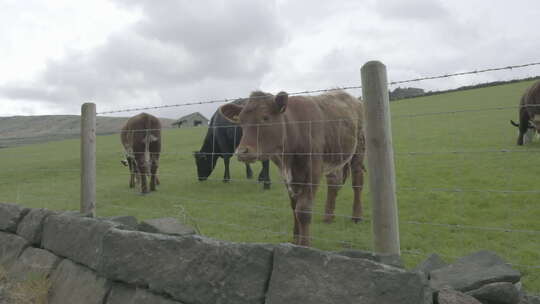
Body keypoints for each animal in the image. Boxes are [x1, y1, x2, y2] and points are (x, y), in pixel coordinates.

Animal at [220, 91, 368, 247]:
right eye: (241, 121)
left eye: (265, 117)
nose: (242, 152)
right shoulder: (287, 175)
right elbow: (293, 206)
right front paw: (296, 238)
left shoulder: (313, 171)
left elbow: (303, 210)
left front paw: (305, 243)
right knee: (334, 183)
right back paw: (328, 216)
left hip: (359, 151)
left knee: (357, 183)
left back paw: (357, 216)